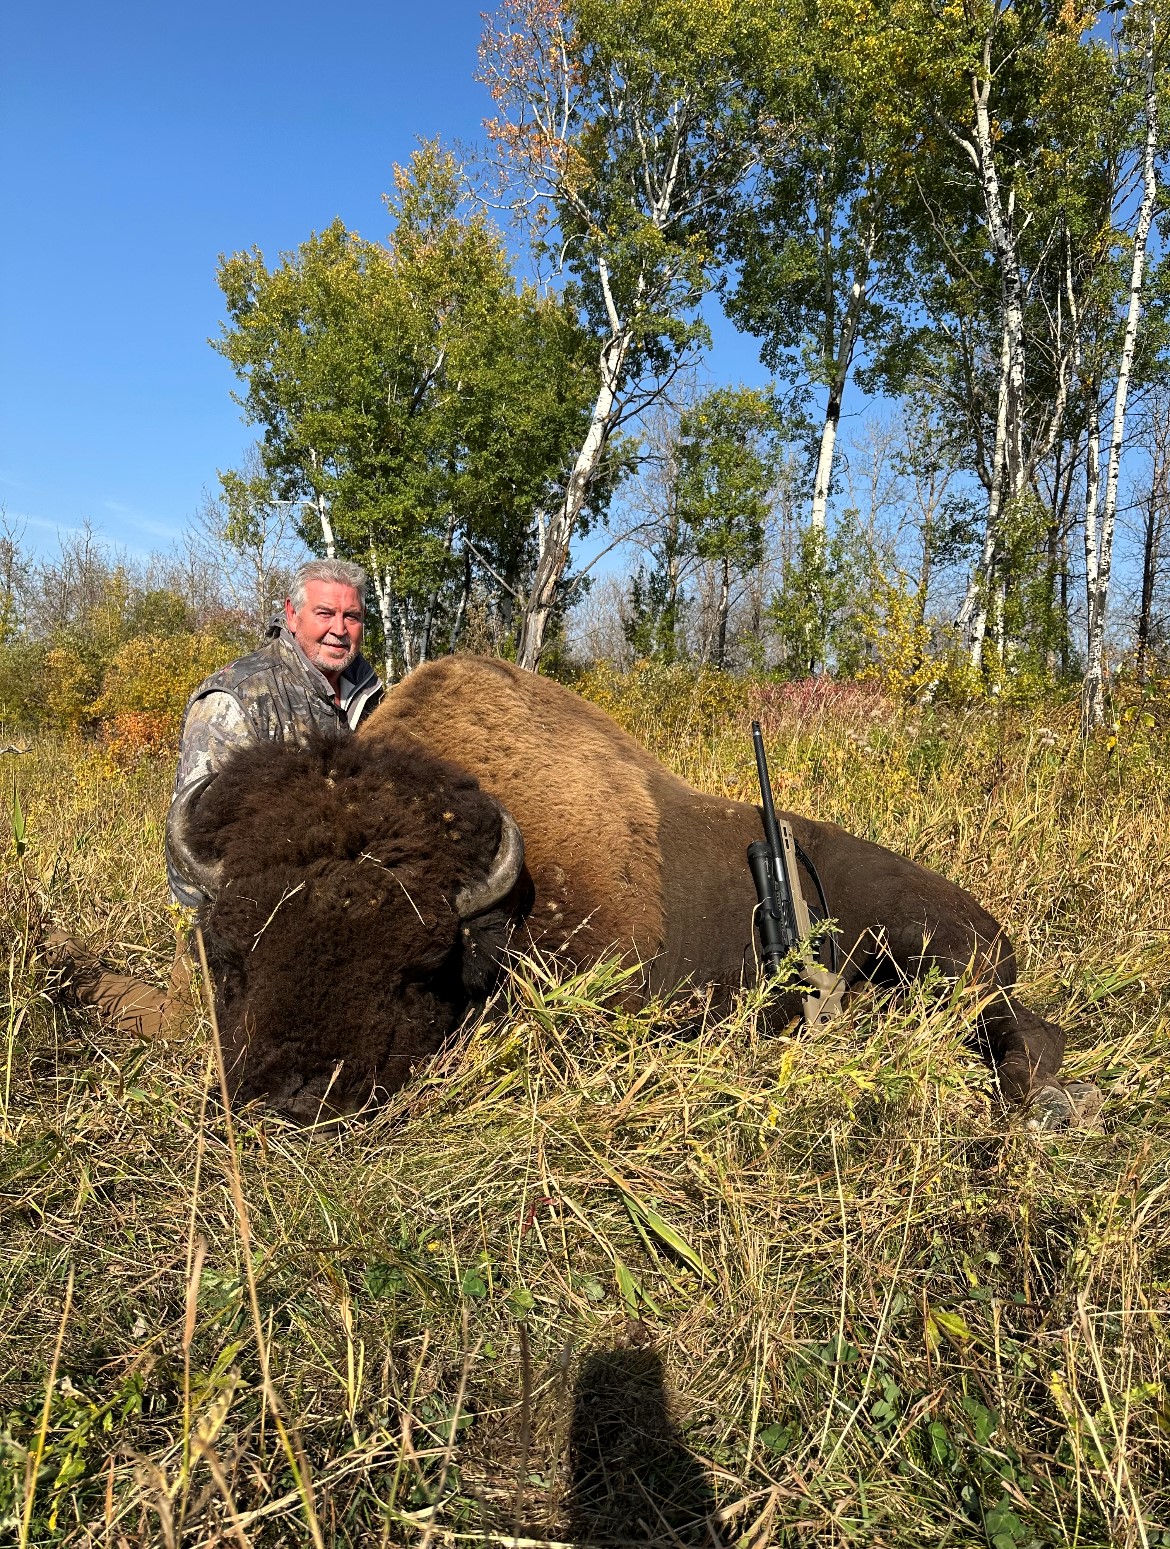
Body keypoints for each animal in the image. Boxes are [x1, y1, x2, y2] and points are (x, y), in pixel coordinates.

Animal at [171, 656, 1085, 1124]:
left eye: (418, 969)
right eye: (229, 955)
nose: (289, 1098)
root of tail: (993, 924)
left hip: (941, 953)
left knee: (1024, 1032)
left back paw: (1049, 1104)